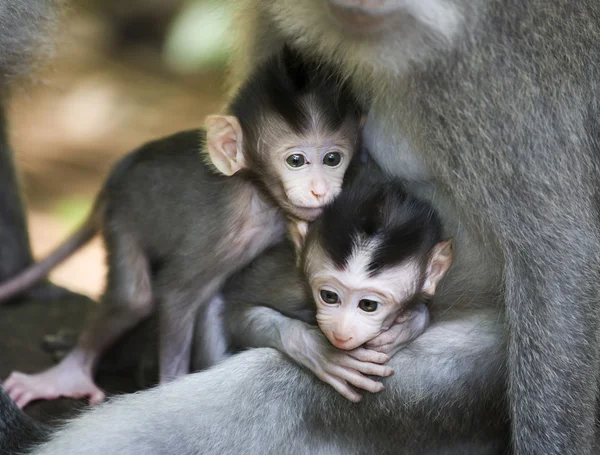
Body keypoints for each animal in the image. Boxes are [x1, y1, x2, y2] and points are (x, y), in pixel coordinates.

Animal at [2, 45, 364, 410]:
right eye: (296, 161)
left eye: (333, 159)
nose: (319, 189)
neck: (258, 192)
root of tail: (118, 173)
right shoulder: (226, 235)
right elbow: (178, 295)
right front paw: (169, 388)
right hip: (124, 218)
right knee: (135, 299)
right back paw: (69, 373)